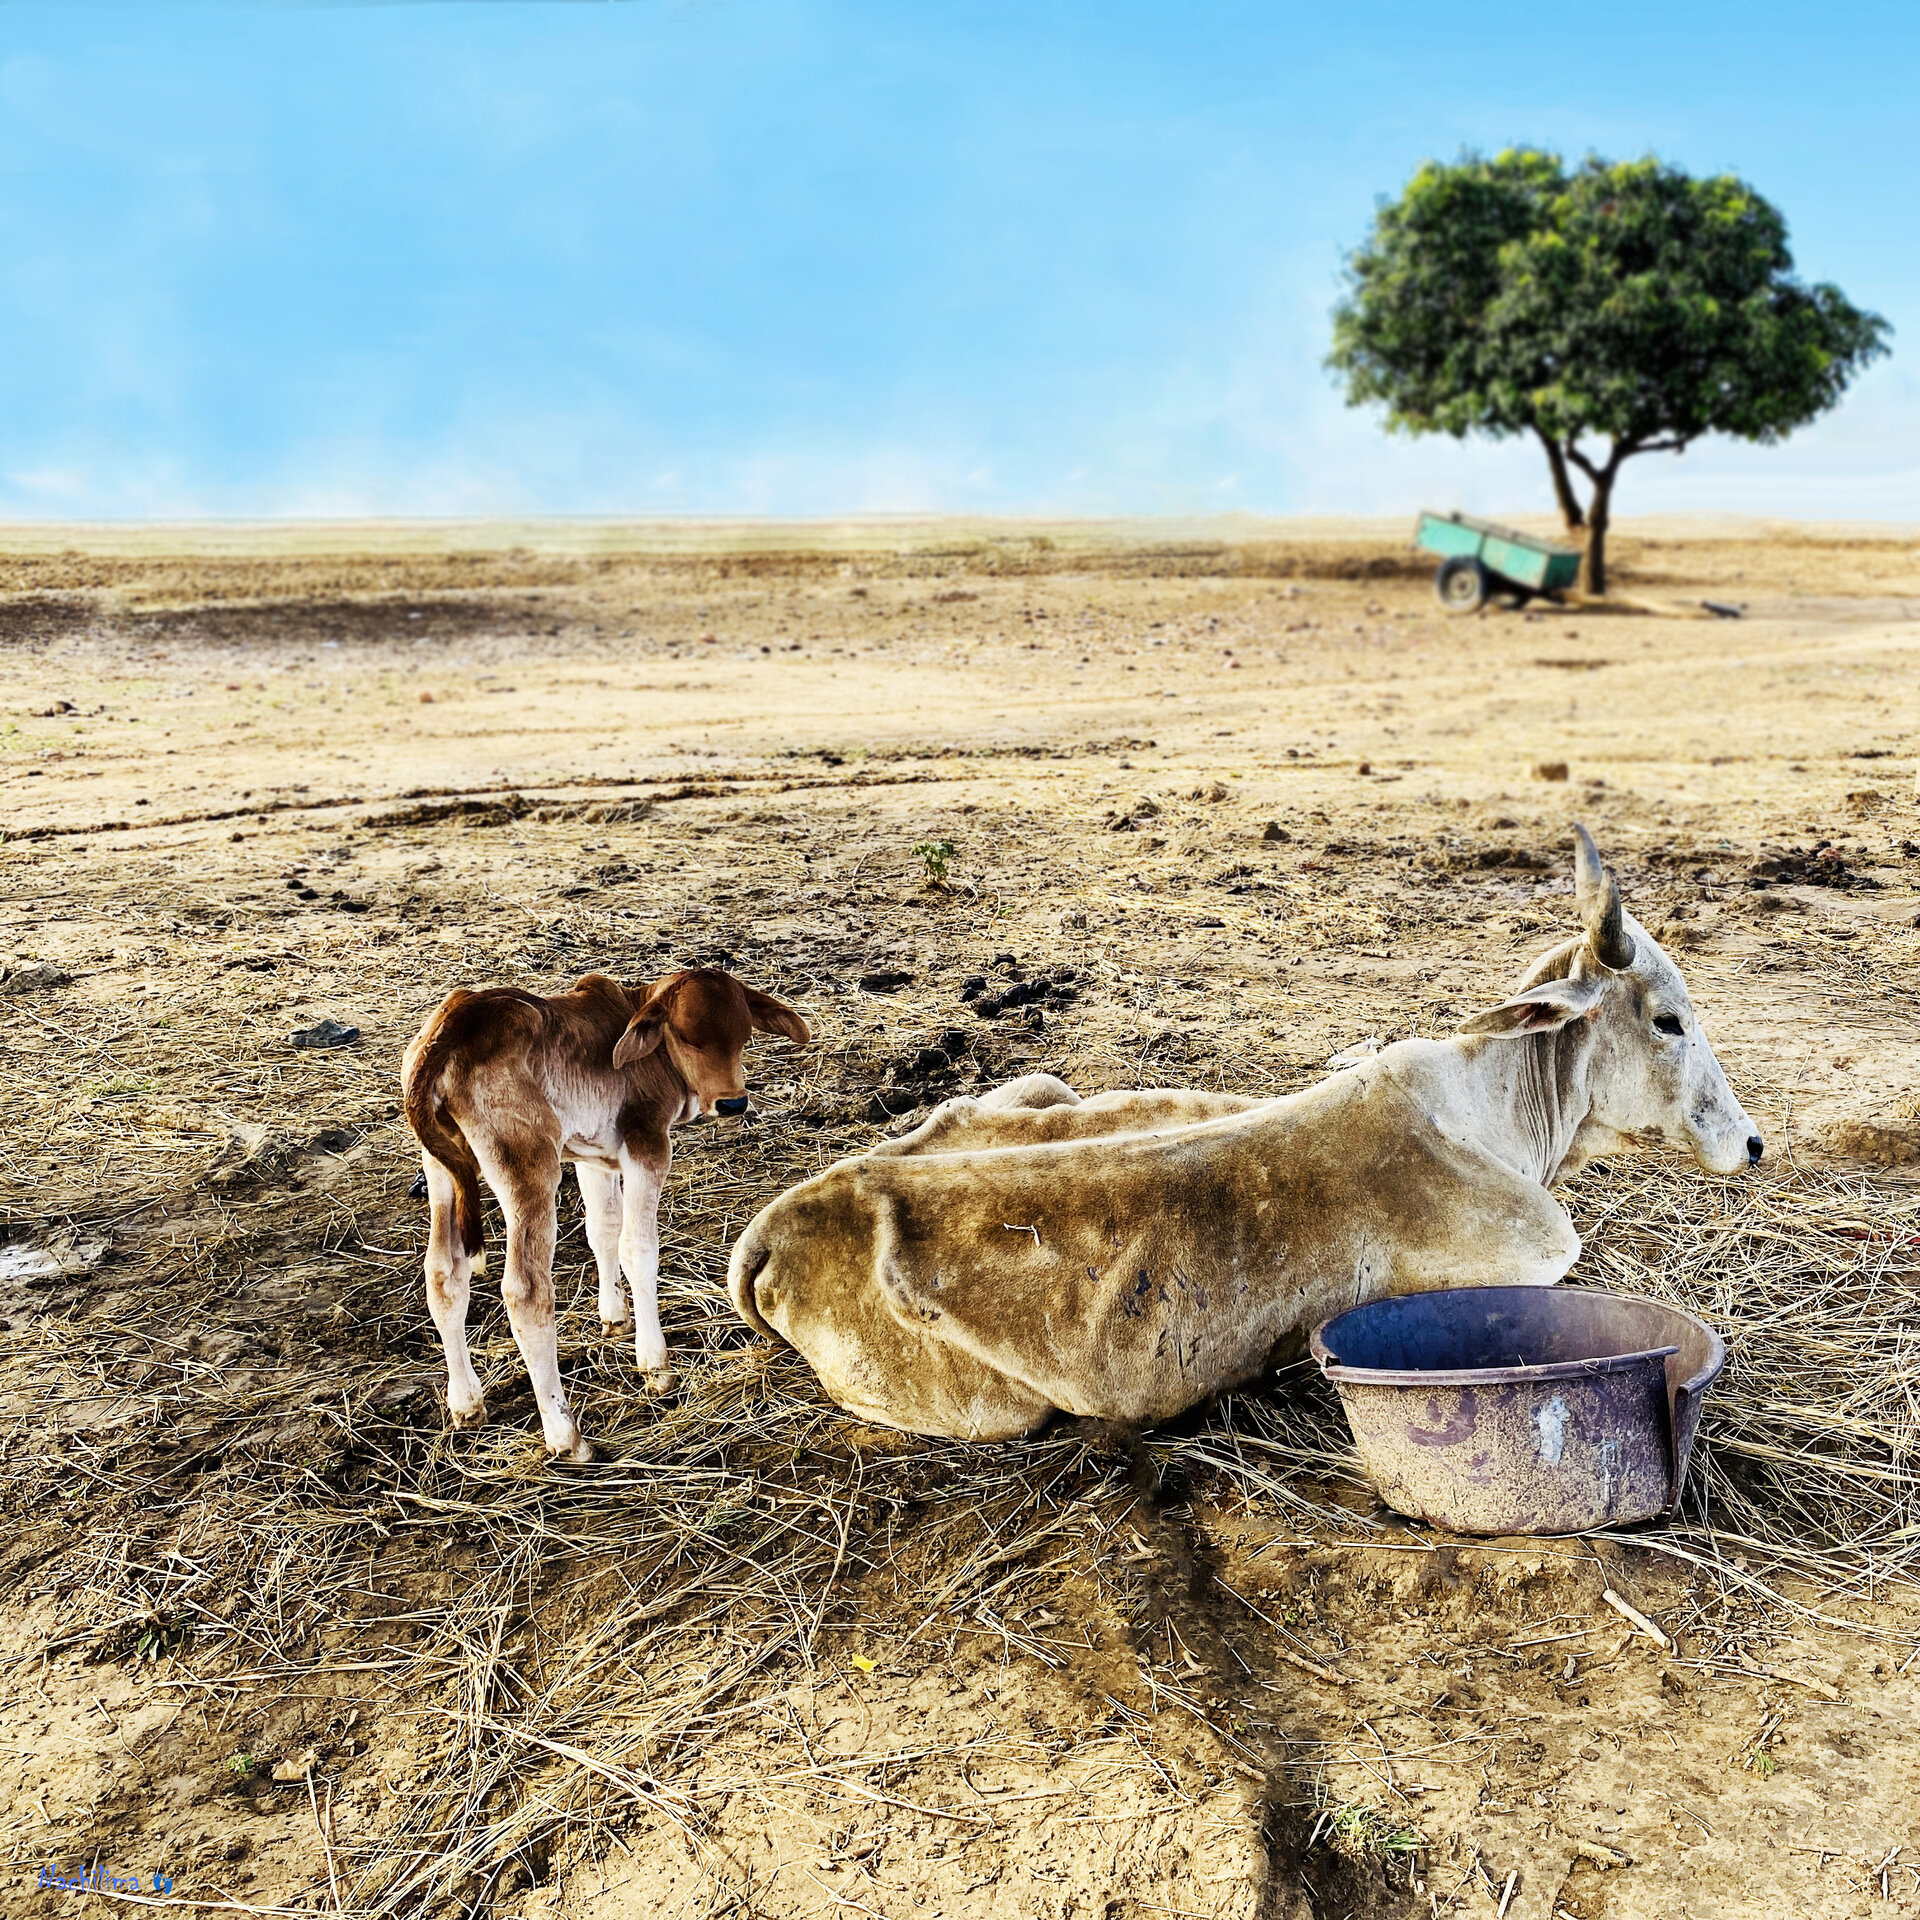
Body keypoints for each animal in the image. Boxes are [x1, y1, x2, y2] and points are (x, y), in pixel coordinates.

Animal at [404, 968, 808, 1460]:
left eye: (744, 1036)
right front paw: (655, 1364)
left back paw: (466, 1402)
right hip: (528, 1168)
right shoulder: (646, 1144)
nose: (732, 1102)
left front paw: (614, 1315)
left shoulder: (592, 1156)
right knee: (526, 1292)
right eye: (685, 1037)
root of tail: (451, 1025)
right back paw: (565, 1435)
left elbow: (603, 1231)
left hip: (441, 1169)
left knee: (444, 1275)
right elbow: (638, 1249)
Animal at [727, 829, 1760, 1441]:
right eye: (1668, 1019)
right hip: (992, 1414)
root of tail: (778, 1224)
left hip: (1038, 1087)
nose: (1751, 1145)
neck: (1489, 1106)